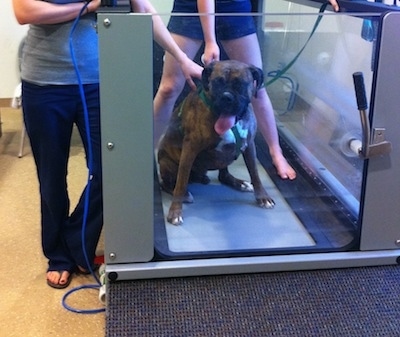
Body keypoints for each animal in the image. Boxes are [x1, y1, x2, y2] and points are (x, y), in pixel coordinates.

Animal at [158, 59, 274, 224]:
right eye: (217, 83)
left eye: (240, 84)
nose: (226, 97)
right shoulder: (189, 149)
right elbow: (180, 183)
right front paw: (175, 211)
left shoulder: (250, 146)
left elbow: (255, 173)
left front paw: (263, 197)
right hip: (168, 163)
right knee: (169, 184)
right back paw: (185, 192)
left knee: (223, 175)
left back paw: (238, 183)